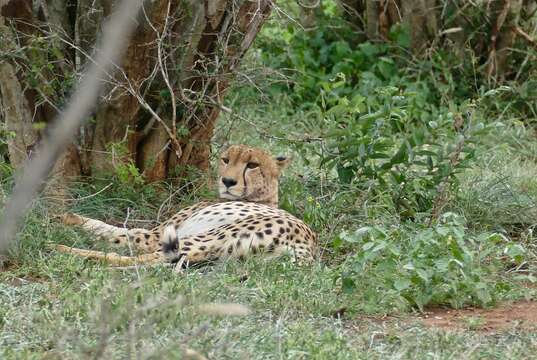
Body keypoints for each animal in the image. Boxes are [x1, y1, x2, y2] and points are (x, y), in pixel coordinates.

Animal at [57, 144, 318, 268]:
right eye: (226, 160)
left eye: (252, 165)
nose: (228, 181)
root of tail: (308, 246)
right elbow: (107, 226)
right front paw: (67, 217)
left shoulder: (156, 234)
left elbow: (115, 232)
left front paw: (59, 220)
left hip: (208, 237)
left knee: (149, 258)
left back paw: (66, 250)